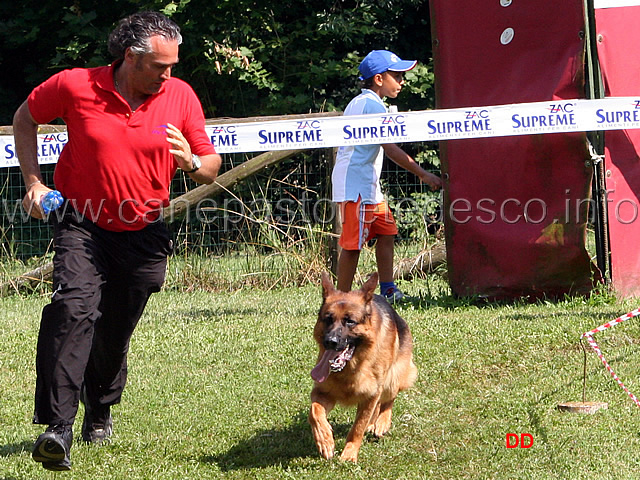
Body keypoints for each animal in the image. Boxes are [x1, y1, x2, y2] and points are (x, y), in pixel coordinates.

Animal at [312, 272, 420, 464]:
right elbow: (315, 412)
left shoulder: (371, 394)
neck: (352, 367)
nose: (330, 341)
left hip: (393, 376)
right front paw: (324, 439)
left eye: (350, 321)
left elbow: (357, 427)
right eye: (328, 319)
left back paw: (382, 422)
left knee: (388, 400)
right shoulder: (322, 392)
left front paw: (349, 453)